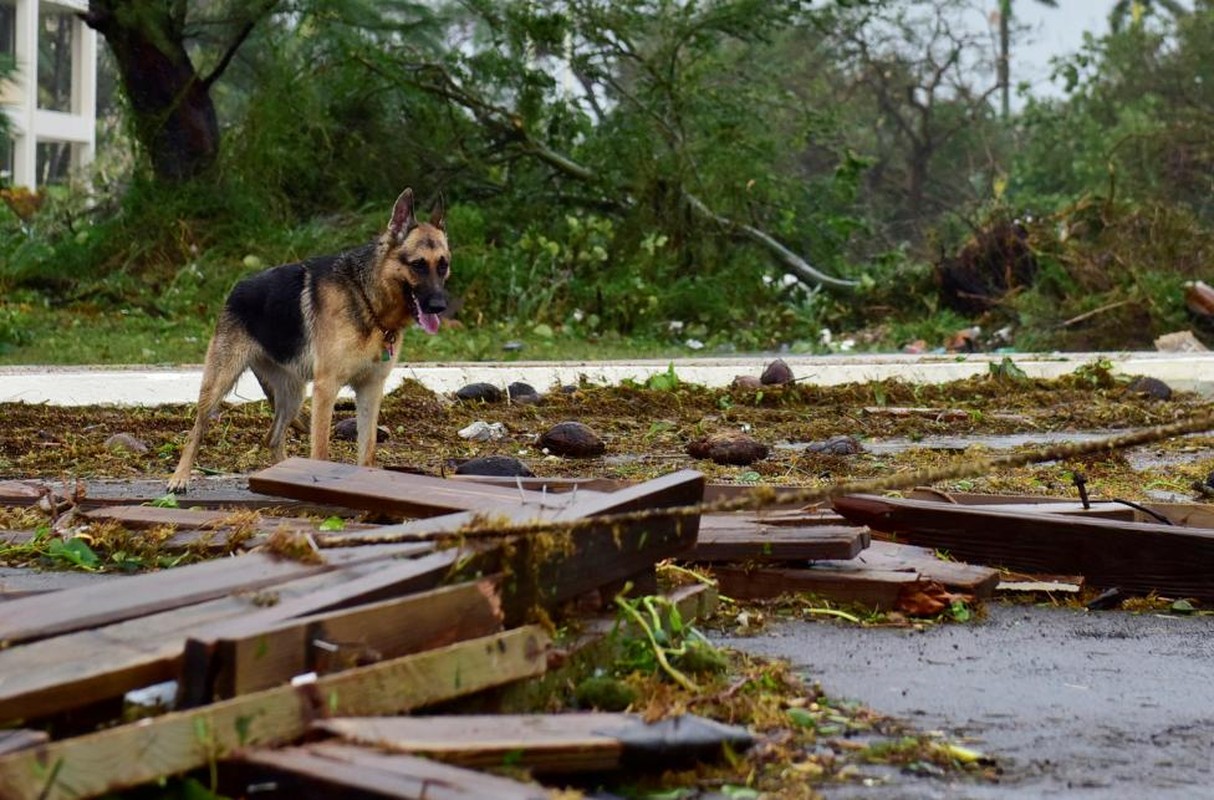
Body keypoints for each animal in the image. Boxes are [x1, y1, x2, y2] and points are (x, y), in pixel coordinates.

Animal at [167, 189, 451, 495]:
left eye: (443, 265)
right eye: (418, 264)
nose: (439, 306)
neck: (366, 297)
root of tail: (236, 289)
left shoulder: (371, 390)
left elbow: (367, 451)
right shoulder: (326, 388)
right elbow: (321, 451)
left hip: (293, 395)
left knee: (273, 437)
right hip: (219, 384)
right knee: (196, 431)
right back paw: (179, 478)